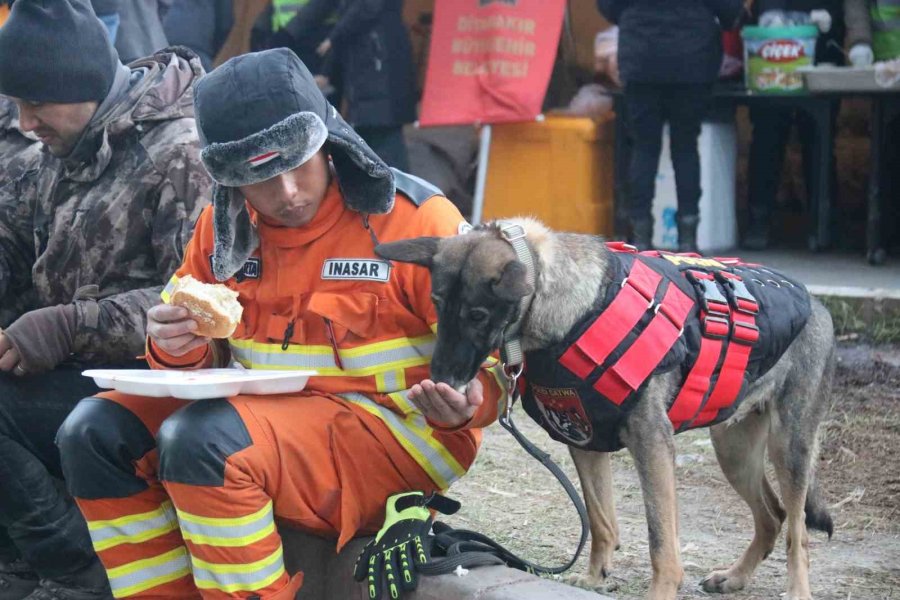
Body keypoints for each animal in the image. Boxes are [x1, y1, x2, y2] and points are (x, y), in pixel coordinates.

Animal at [374, 219, 836, 600]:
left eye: (477, 314)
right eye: (437, 304)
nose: (441, 379)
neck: (568, 308)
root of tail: (817, 304)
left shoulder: (651, 445)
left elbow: (660, 538)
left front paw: (660, 592)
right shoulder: (585, 441)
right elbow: (600, 520)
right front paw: (596, 578)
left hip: (789, 448)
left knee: (797, 530)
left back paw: (797, 591)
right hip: (734, 451)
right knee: (773, 516)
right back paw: (736, 577)